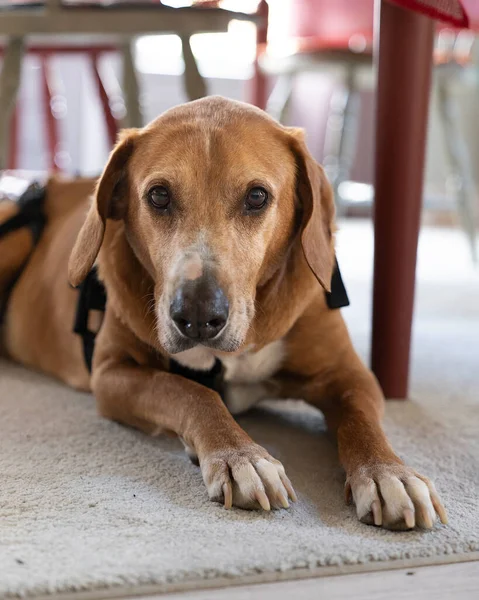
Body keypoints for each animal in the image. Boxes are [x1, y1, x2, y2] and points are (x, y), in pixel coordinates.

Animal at [1, 97, 448, 528]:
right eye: (159, 196)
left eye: (257, 197)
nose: (197, 317)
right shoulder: (110, 373)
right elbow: (190, 391)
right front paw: (240, 455)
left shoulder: (351, 375)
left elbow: (361, 420)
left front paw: (388, 473)